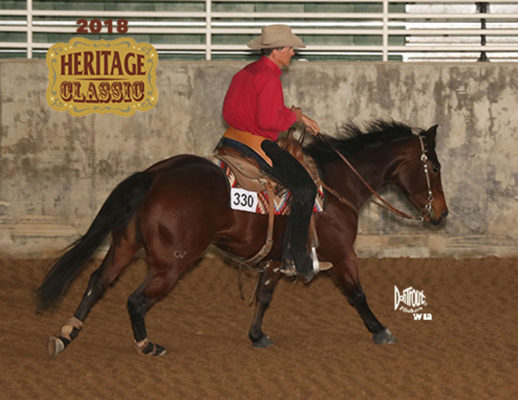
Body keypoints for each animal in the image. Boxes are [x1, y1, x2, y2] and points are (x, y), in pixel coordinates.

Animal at [37, 120, 448, 357]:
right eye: (435, 166)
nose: (442, 214)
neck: (336, 186)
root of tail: (155, 175)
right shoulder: (342, 254)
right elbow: (357, 294)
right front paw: (381, 330)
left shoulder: (275, 260)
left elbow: (264, 296)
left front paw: (256, 335)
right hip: (171, 263)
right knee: (135, 300)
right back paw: (147, 345)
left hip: (125, 246)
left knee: (97, 282)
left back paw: (65, 336)